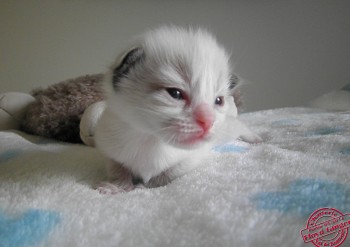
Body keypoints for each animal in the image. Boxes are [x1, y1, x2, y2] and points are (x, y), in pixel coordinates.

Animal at [95, 26, 260, 193]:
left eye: (218, 101)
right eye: (175, 93)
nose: (208, 121)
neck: (151, 139)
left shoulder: (192, 157)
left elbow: (167, 174)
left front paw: (143, 186)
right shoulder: (108, 149)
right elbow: (118, 169)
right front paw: (115, 186)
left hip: (226, 129)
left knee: (241, 126)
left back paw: (257, 138)